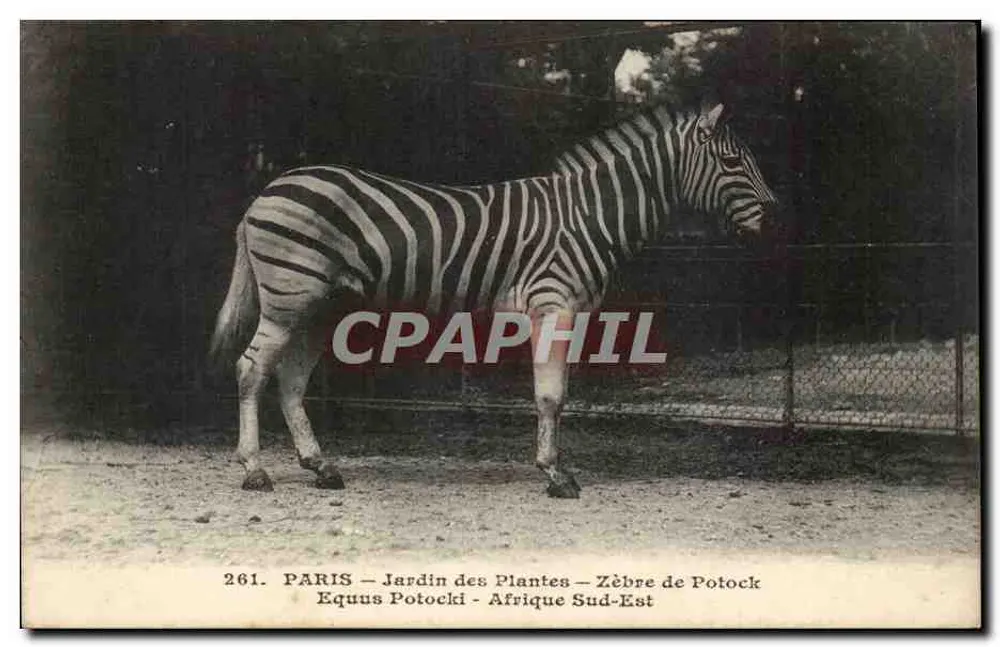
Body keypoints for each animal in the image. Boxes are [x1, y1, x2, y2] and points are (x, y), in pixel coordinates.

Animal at [210, 100, 778, 498]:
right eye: (732, 161)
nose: (775, 219)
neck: (591, 215)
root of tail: (267, 190)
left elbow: (556, 395)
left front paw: (554, 468)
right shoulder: (553, 304)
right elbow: (551, 396)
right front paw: (555, 475)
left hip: (320, 305)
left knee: (289, 379)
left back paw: (320, 466)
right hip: (290, 296)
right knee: (250, 369)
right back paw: (255, 470)